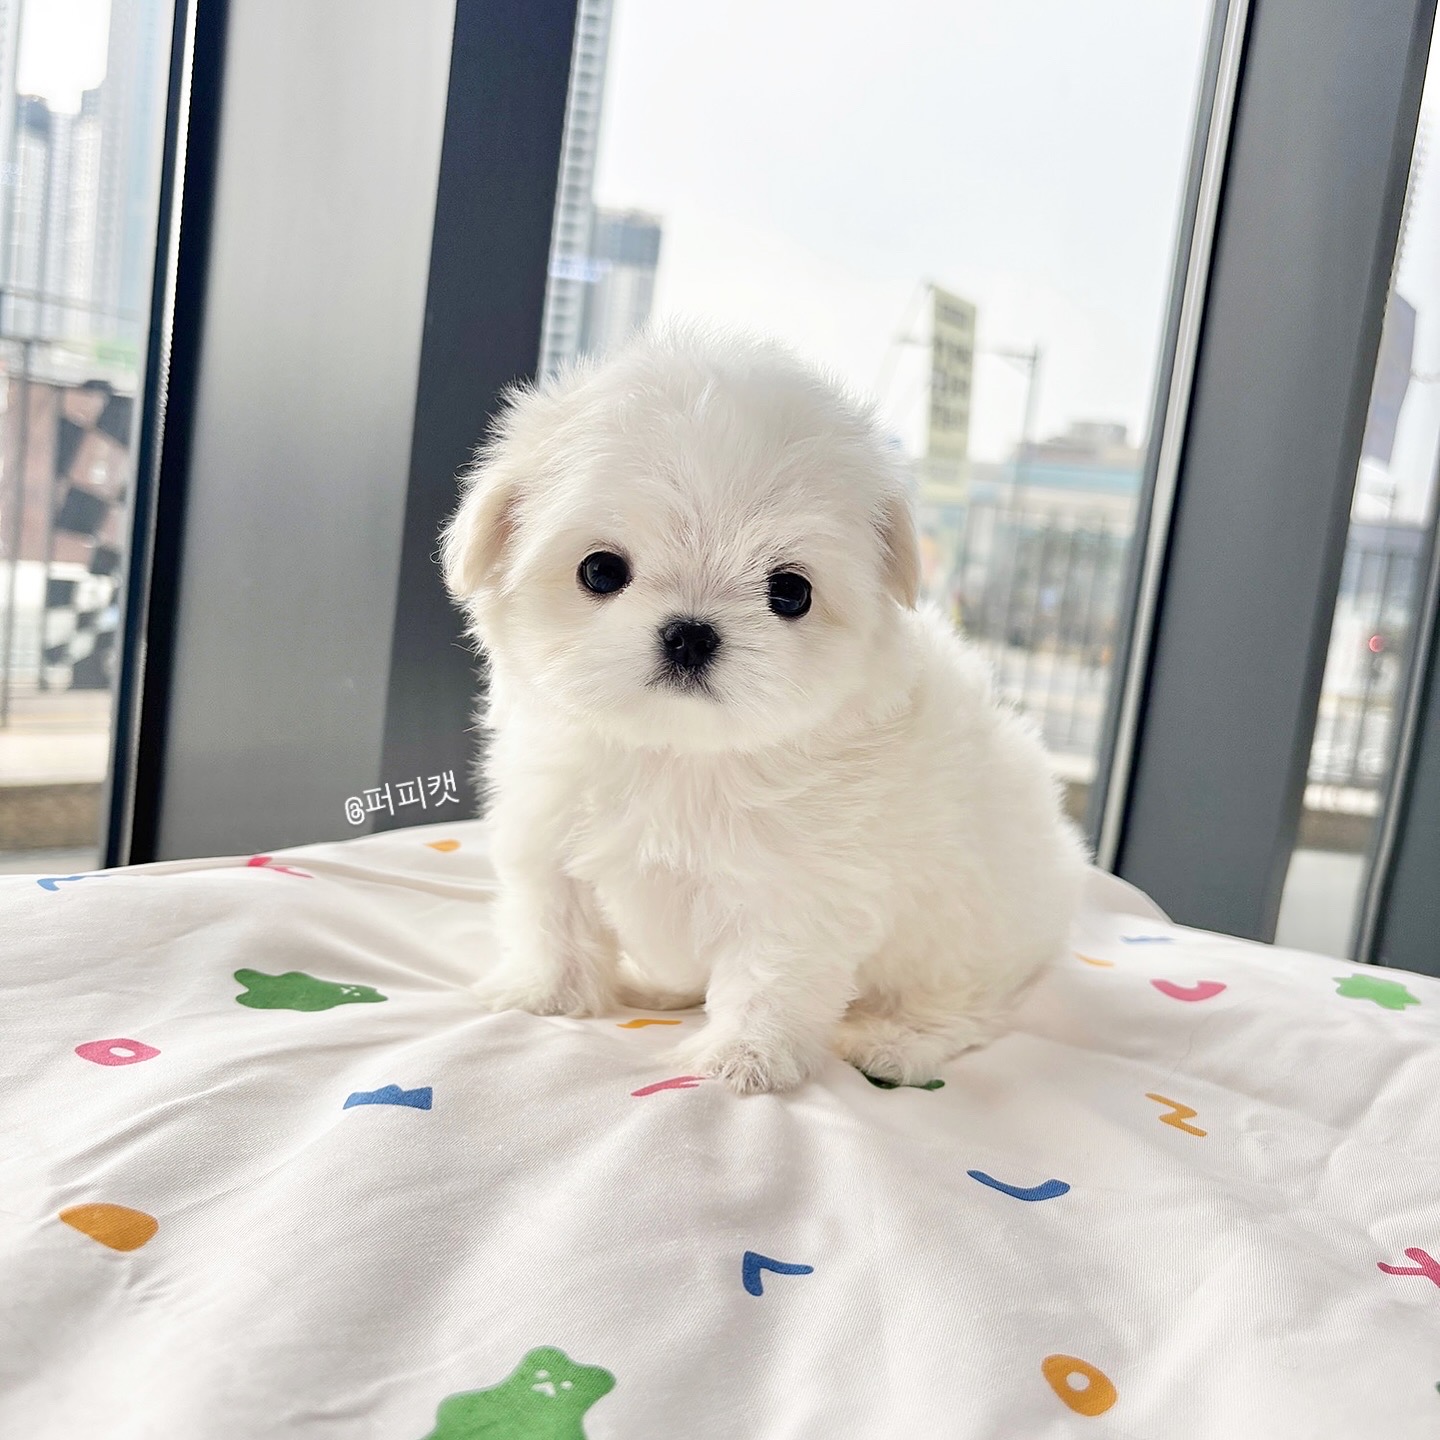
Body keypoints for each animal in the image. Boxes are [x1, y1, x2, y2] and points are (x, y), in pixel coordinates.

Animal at [441, 328, 1088, 1095]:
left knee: (962, 1003)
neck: (681, 754)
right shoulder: (548, 826)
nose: (690, 633)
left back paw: (897, 1042)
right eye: (600, 571)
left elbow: (769, 978)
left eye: (790, 592)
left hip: (969, 929)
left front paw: (743, 1058)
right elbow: (554, 917)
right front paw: (546, 993)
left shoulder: (800, 893)